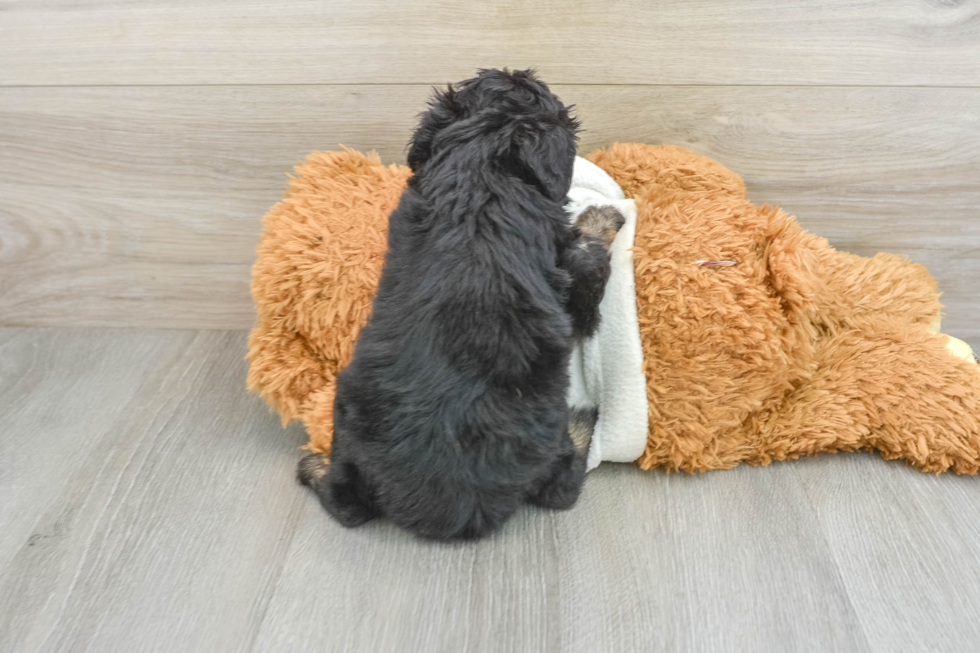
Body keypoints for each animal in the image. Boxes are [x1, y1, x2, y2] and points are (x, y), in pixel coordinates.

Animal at [296, 70, 620, 540]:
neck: (480, 174)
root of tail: (451, 504)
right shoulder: (573, 275)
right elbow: (590, 261)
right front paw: (602, 217)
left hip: (351, 407)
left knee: (346, 503)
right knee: (565, 485)